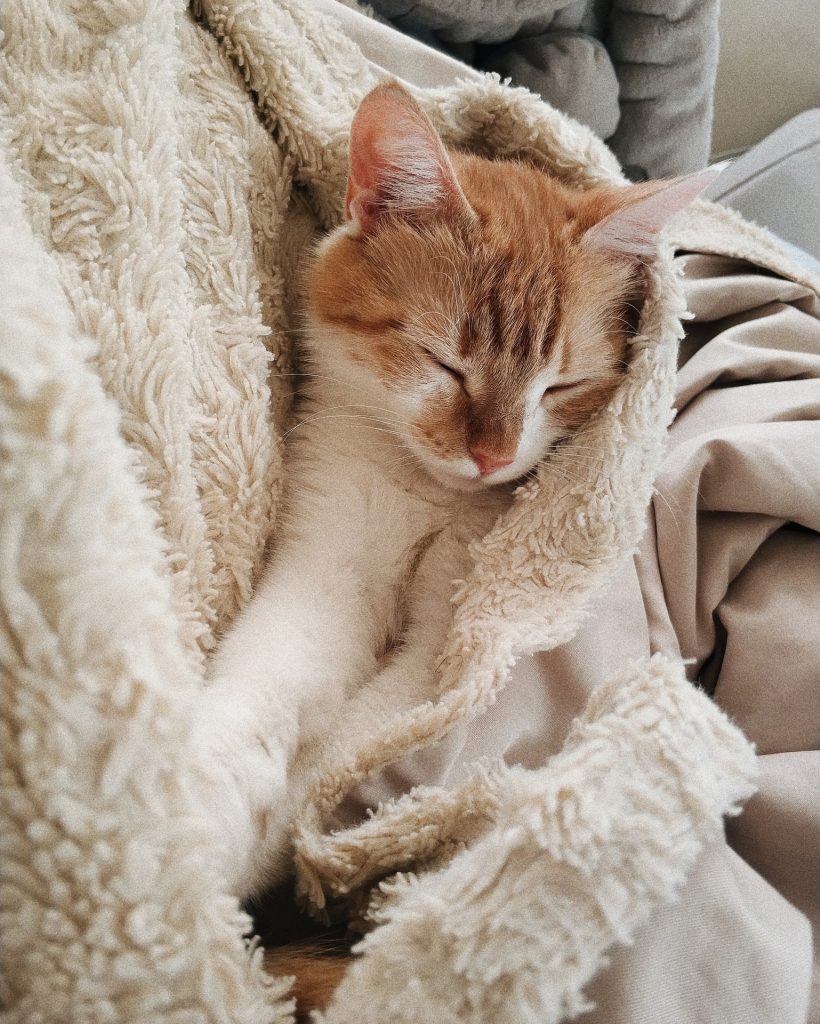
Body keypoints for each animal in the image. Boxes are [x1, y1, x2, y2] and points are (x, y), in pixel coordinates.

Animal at [190, 81, 708, 1015]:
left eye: (560, 386)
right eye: (445, 363)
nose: (493, 455)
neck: (426, 494)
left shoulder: (453, 640)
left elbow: (342, 752)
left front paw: (283, 847)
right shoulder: (329, 565)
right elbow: (268, 687)